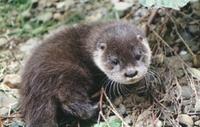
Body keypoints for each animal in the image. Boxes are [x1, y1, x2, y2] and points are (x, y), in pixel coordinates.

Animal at [20, 20, 152, 126]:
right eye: (114, 61)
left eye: (138, 55)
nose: (131, 73)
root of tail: (34, 86)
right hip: (70, 72)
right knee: (68, 97)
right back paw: (95, 108)